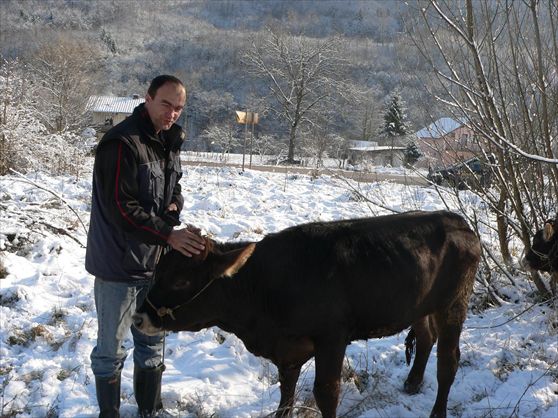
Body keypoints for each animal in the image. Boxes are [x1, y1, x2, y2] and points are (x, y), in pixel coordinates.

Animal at [135, 212, 482, 418]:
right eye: (159, 271)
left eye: (181, 281)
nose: (139, 318)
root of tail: (458, 221)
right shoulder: (288, 349)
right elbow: (286, 390)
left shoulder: (332, 338)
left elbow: (325, 393)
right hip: (422, 306)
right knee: (425, 338)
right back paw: (412, 382)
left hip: (454, 304)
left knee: (448, 361)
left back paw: (437, 411)